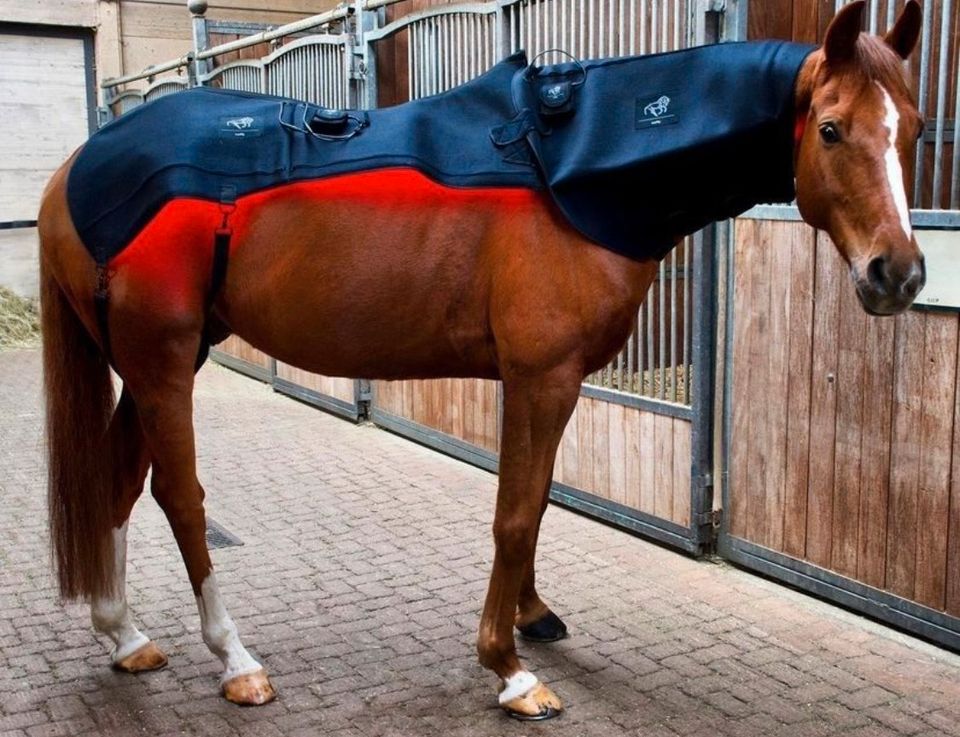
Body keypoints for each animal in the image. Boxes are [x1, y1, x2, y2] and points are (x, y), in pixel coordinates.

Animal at [37, 0, 924, 720]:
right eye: (832, 128)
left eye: (912, 128)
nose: (900, 274)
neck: (571, 166)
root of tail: (72, 174)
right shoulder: (544, 377)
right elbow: (517, 513)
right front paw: (510, 668)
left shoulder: (539, 382)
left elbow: (533, 503)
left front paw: (531, 617)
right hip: (161, 363)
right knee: (180, 498)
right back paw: (237, 660)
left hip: (157, 364)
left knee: (116, 485)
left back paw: (127, 636)